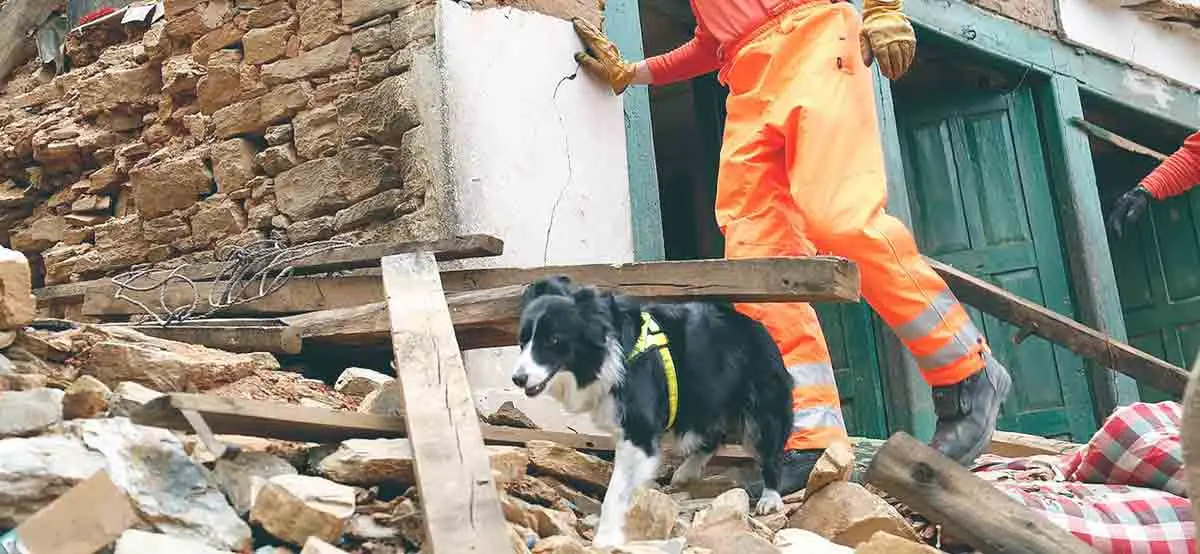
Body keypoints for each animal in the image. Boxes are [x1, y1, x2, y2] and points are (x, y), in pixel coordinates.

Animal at [511, 275, 792, 544]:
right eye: (522, 341)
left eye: (553, 340)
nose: (518, 379)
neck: (606, 354)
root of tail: (758, 327)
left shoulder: (638, 427)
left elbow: (617, 488)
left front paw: (606, 536)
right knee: (712, 433)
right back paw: (686, 472)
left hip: (760, 402)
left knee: (766, 443)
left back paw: (770, 498)